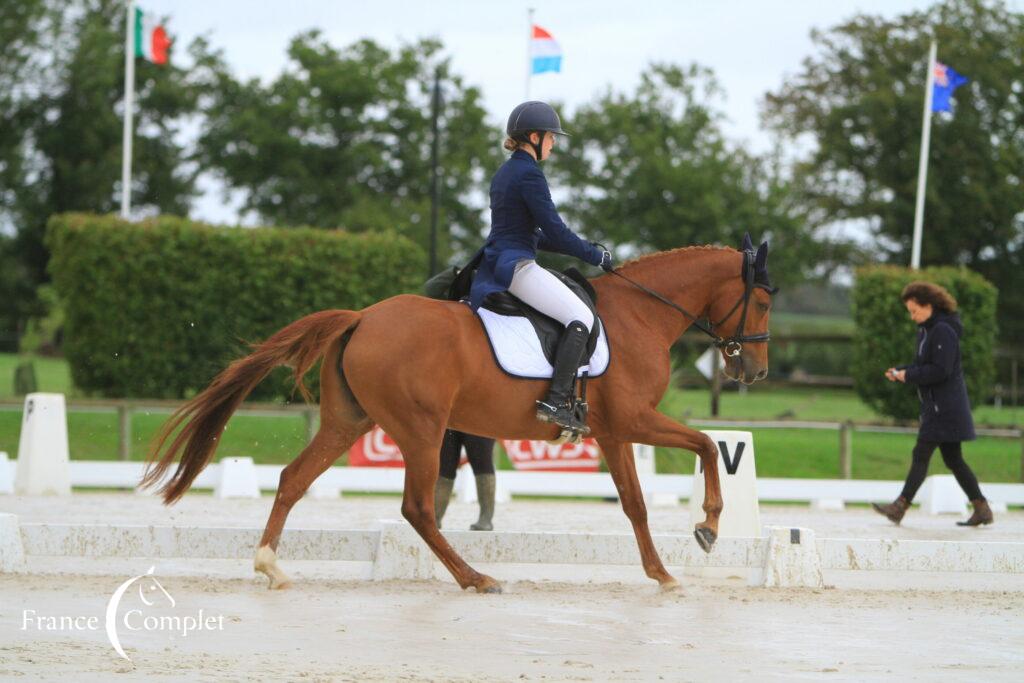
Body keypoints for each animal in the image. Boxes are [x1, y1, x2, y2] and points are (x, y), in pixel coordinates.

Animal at [140, 240, 770, 593]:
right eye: (763, 301)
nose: (756, 371)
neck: (640, 314)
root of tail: (361, 317)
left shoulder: (613, 433)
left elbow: (637, 504)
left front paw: (662, 573)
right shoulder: (634, 420)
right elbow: (707, 445)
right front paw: (708, 528)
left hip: (350, 422)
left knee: (295, 478)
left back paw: (271, 565)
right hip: (421, 429)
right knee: (418, 508)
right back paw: (476, 578)